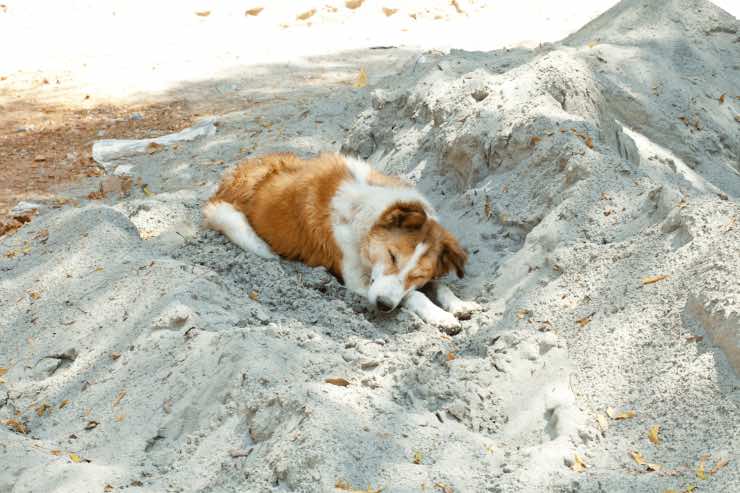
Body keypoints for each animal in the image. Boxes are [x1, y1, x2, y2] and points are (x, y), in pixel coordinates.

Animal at [202, 152, 480, 328]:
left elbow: (437, 286)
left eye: (418, 275)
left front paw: (458, 304)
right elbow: (413, 296)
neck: (364, 217)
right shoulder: (358, 281)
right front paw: (439, 316)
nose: (383, 305)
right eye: (391, 256)